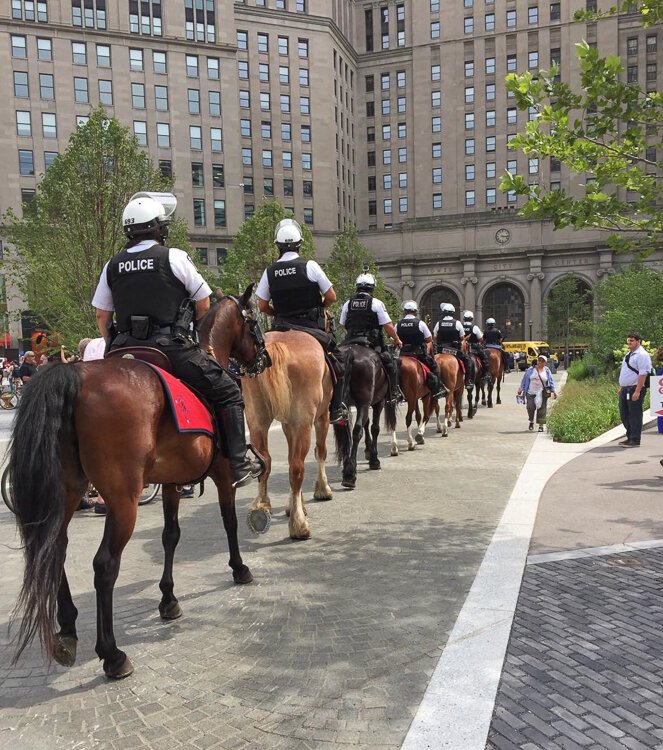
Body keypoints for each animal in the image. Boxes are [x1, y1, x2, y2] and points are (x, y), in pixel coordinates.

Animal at [7, 288, 268, 680]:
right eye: (253, 321)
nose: (265, 358)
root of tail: (74, 375)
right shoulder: (224, 477)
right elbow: (230, 522)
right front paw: (239, 568)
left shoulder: (172, 482)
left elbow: (170, 536)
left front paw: (168, 599)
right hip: (122, 499)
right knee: (104, 565)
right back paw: (112, 654)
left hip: (66, 492)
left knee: (57, 549)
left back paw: (67, 630)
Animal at [233, 330, 338, 540]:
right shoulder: (321, 417)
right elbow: (319, 452)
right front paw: (322, 490)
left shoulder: (287, 424)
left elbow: (289, 458)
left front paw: (295, 504)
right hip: (305, 423)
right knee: (297, 467)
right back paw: (299, 526)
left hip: (257, 420)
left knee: (265, 461)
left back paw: (262, 507)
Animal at [334, 344, 396, 490]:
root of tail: (351, 352)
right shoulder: (378, 403)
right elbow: (374, 428)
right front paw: (374, 459)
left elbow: (367, 424)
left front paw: (368, 451)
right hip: (365, 402)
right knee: (357, 431)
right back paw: (350, 475)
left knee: (346, 433)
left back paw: (347, 468)